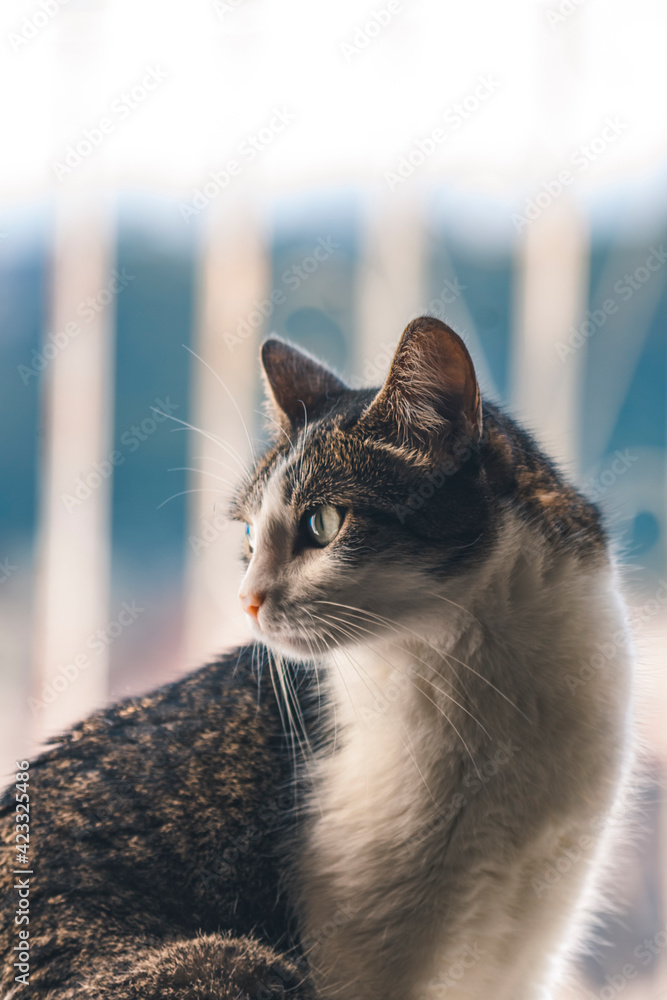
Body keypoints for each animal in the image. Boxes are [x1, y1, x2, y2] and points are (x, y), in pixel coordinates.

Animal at [0, 314, 636, 1000]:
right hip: (229, 961)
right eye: (249, 535)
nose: (246, 599)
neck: (493, 672)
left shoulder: (530, 938)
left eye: (323, 523)